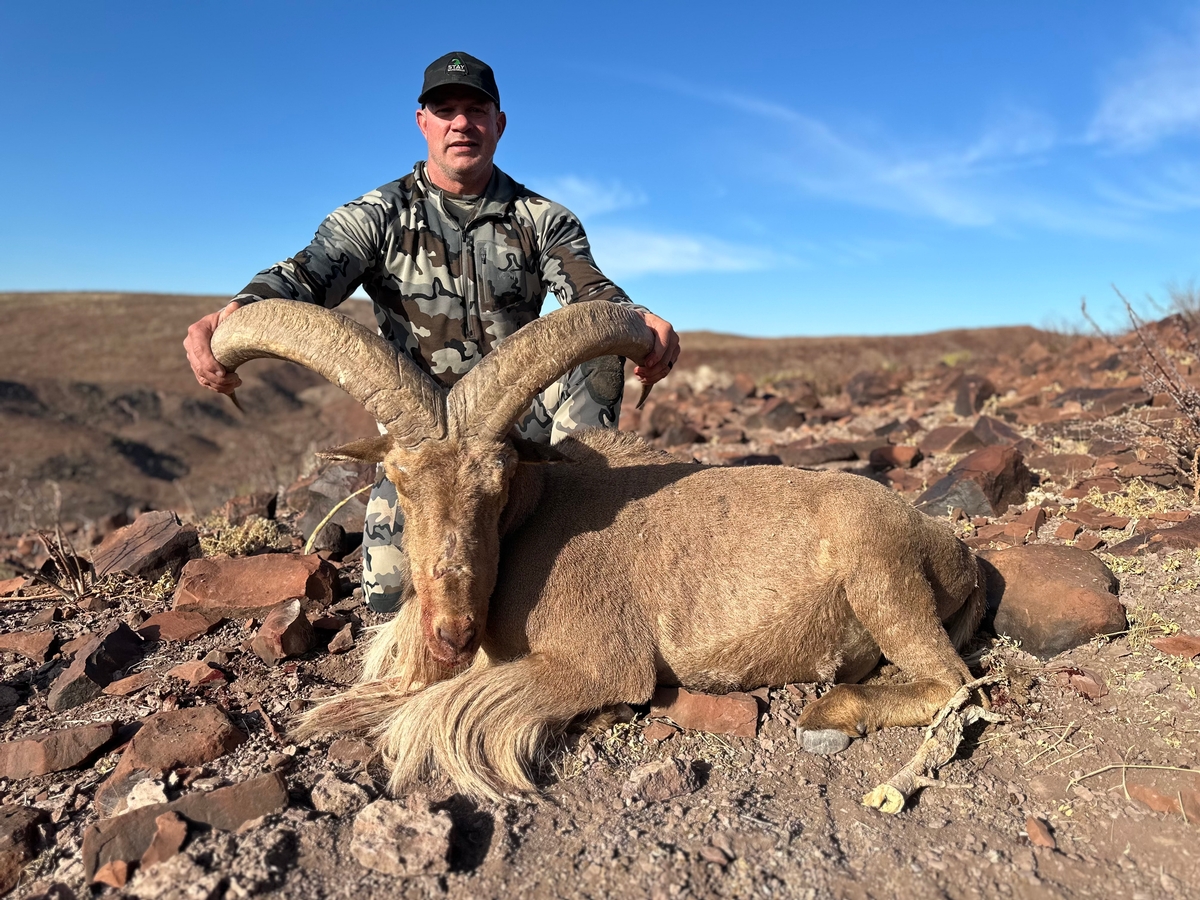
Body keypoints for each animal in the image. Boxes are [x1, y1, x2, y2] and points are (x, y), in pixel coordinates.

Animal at [212, 299, 987, 801]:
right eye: (399, 480)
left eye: (500, 479)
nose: (451, 634)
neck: (534, 521)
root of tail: (955, 552)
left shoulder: (590, 662)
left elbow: (427, 715)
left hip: (881, 576)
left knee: (951, 683)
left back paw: (829, 713)